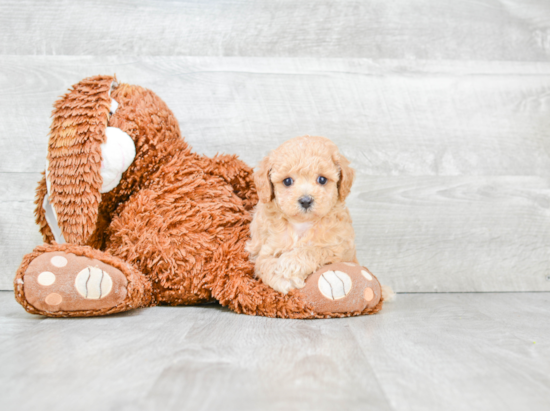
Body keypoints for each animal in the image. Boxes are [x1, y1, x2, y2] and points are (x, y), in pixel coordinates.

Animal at [246, 137, 358, 294]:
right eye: (287, 181)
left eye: (322, 179)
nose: (305, 201)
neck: (301, 223)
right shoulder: (266, 249)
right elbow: (264, 263)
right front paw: (282, 278)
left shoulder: (341, 249)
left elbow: (314, 250)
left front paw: (289, 265)